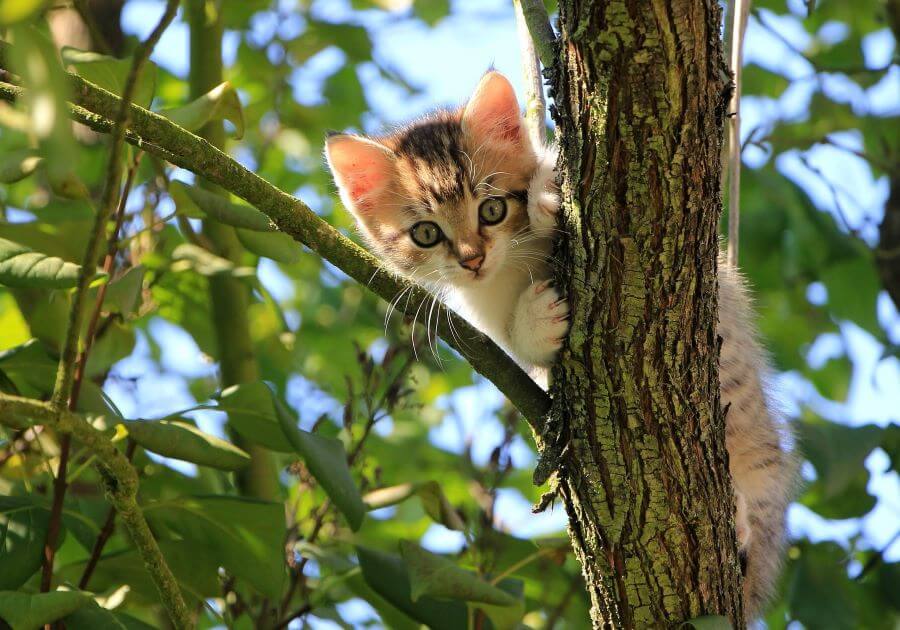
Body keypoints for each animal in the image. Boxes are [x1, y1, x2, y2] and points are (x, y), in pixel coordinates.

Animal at [324, 71, 796, 620]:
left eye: (492, 208)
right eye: (426, 233)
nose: (472, 259)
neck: (510, 267)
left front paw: (546, 197)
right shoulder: (485, 317)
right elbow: (517, 346)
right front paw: (537, 320)